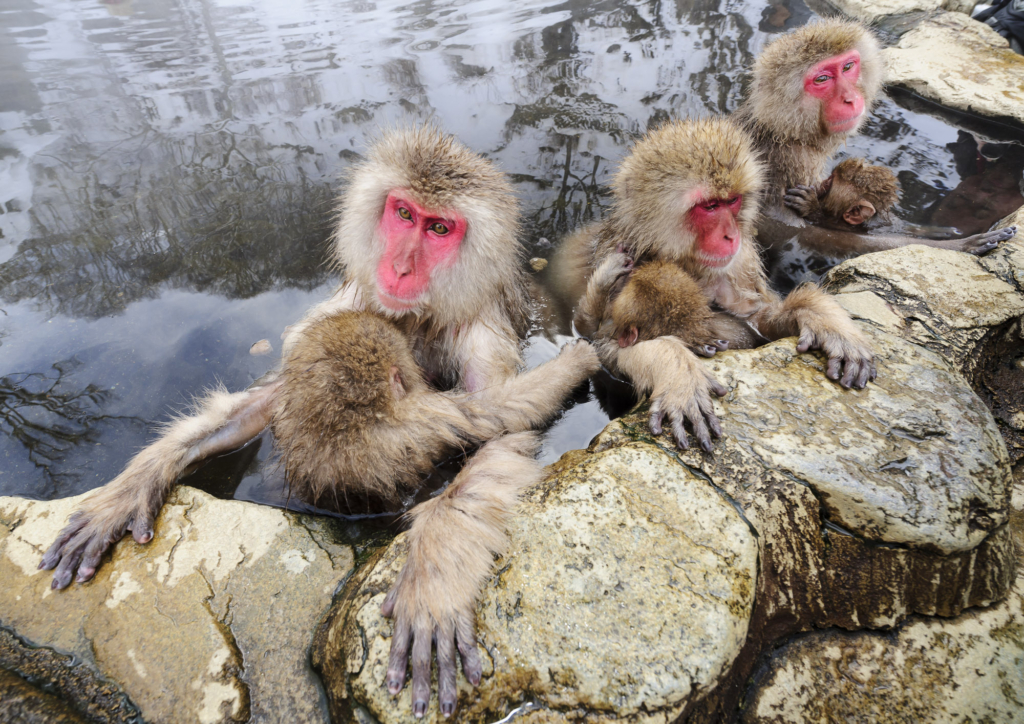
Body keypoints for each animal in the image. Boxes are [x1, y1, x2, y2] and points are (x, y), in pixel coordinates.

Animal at [41, 127, 598, 716]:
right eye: (404, 213)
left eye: (439, 228)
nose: (399, 268)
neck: (419, 315)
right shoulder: (350, 303)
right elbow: (266, 403)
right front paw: (135, 484)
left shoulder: (482, 335)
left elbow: (504, 434)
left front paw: (433, 578)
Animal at [561, 116, 872, 450]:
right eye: (709, 206)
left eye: (731, 201)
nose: (730, 235)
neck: (683, 259)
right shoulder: (623, 269)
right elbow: (603, 348)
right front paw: (674, 368)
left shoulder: (740, 263)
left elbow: (760, 319)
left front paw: (822, 317)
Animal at [737, 18, 1015, 258]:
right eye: (822, 79)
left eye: (847, 67)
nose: (850, 98)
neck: (787, 132)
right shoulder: (787, 166)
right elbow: (799, 234)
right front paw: (960, 245)